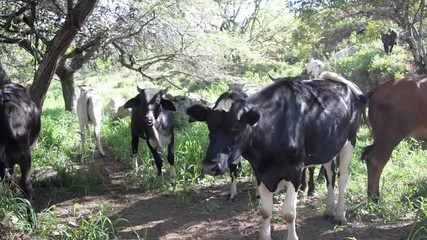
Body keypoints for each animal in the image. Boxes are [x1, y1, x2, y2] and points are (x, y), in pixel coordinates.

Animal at [188, 72, 368, 239]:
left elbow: (289, 213)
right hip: (328, 147)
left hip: (349, 141)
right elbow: (265, 210)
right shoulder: (260, 171)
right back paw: (329, 210)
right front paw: (264, 235)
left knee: (342, 178)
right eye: (209, 125)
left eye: (236, 126)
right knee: (330, 175)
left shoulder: (295, 171)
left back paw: (340, 214)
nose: (209, 165)